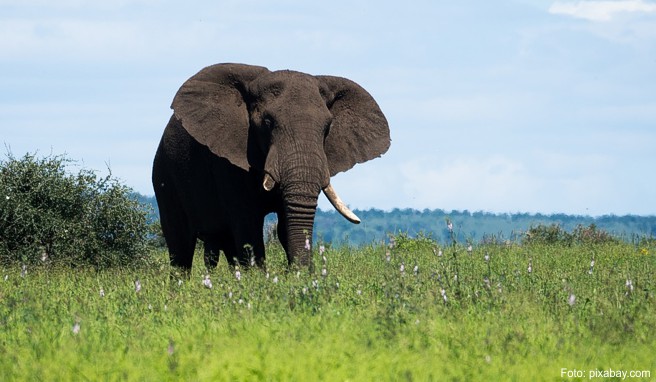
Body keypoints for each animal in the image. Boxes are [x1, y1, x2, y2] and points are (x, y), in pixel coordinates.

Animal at [152, 62, 390, 270]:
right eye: (267, 123)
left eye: (328, 127)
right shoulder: (227, 162)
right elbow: (248, 226)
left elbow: (285, 225)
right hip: (164, 176)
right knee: (180, 246)